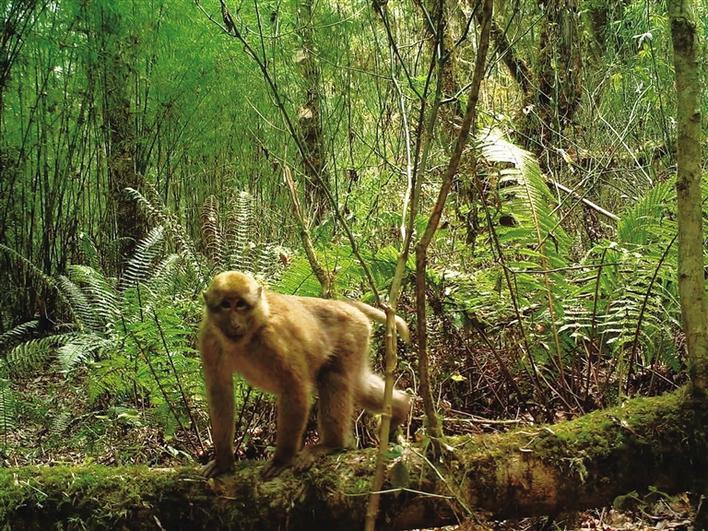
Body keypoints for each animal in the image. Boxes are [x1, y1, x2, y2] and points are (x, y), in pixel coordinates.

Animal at [199, 271, 412, 479]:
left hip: (352, 335)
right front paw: (223, 462)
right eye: (226, 305)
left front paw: (281, 460)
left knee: (333, 377)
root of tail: (344, 304)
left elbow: (294, 387)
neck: (253, 330)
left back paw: (331, 445)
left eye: (241, 305)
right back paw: (400, 407)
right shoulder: (209, 338)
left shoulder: (274, 339)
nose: (234, 323)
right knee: (359, 385)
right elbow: (220, 392)